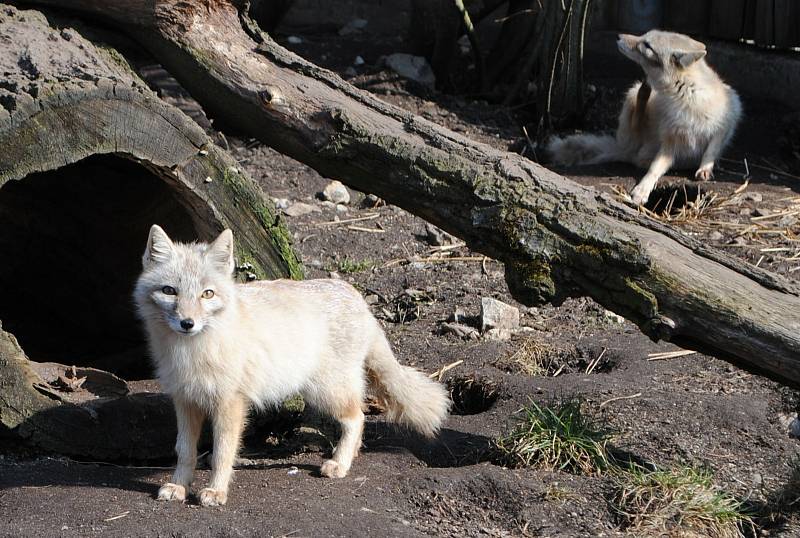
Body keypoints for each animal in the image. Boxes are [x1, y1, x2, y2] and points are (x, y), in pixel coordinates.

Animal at [134, 224, 454, 504]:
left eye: (207, 294)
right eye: (170, 291)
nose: (187, 323)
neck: (192, 352)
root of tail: (356, 296)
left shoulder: (230, 403)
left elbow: (222, 452)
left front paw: (216, 491)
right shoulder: (185, 400)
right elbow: (184, 451)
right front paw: (179, 486)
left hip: (327, 392)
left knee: (358, 417)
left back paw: (340, 463)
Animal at [548, 29, 740, 205]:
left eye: (647, 45)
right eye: (644, 36)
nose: (618, 36)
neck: (686, 97)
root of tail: (625, 149)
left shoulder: (727, 119)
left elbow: (711, 149)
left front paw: (705, 168)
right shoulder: (669, 143)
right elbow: (654, 170)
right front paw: (643, 188)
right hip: (631, 100)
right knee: (636, 123)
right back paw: (644, 93)